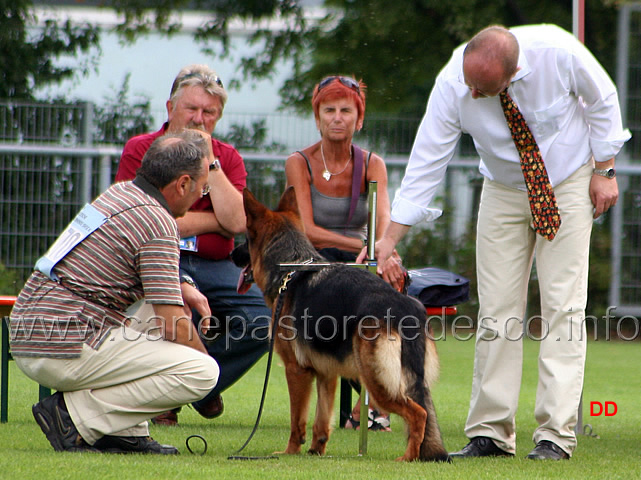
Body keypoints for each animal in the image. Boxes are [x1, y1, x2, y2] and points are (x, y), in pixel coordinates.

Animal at [232, 188, 448, 462]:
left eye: (246, 239)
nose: (231, 254)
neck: (291, 267)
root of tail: (405, 308)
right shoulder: (327, 373)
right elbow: (321, 420)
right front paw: (316, 450)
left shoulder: (296, 370)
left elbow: (297, 419)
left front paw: (290, 451)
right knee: (425, 412)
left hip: (376, 381)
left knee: (419, 414)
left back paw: (407, 457)